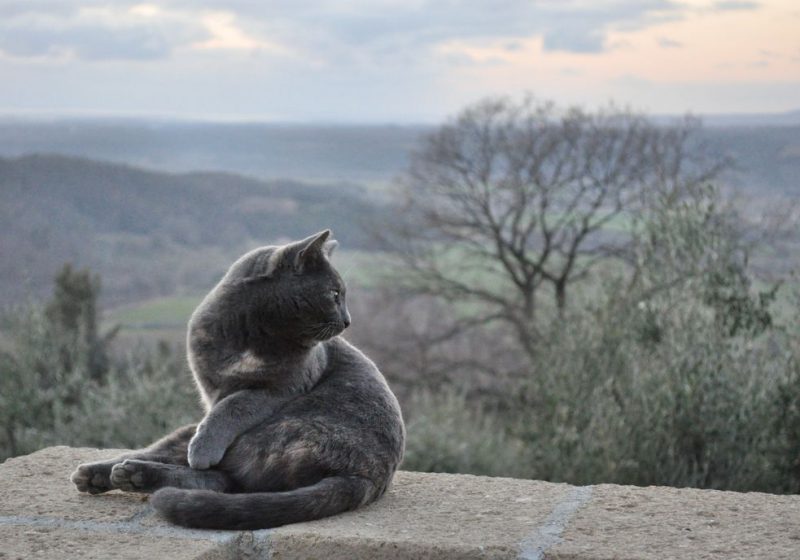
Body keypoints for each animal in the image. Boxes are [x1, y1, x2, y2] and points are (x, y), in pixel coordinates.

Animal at [70, 230, 406, 528]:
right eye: (334, 294)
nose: (349, 320)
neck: (251, 333)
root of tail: (363, 477)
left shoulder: (278, 389)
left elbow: (232, 407)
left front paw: (203, 449)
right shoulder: (210, 389)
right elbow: (220, 411)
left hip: (279, 431)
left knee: (222, 480)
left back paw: (137, 474)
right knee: (189, 462)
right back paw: (99, 473)